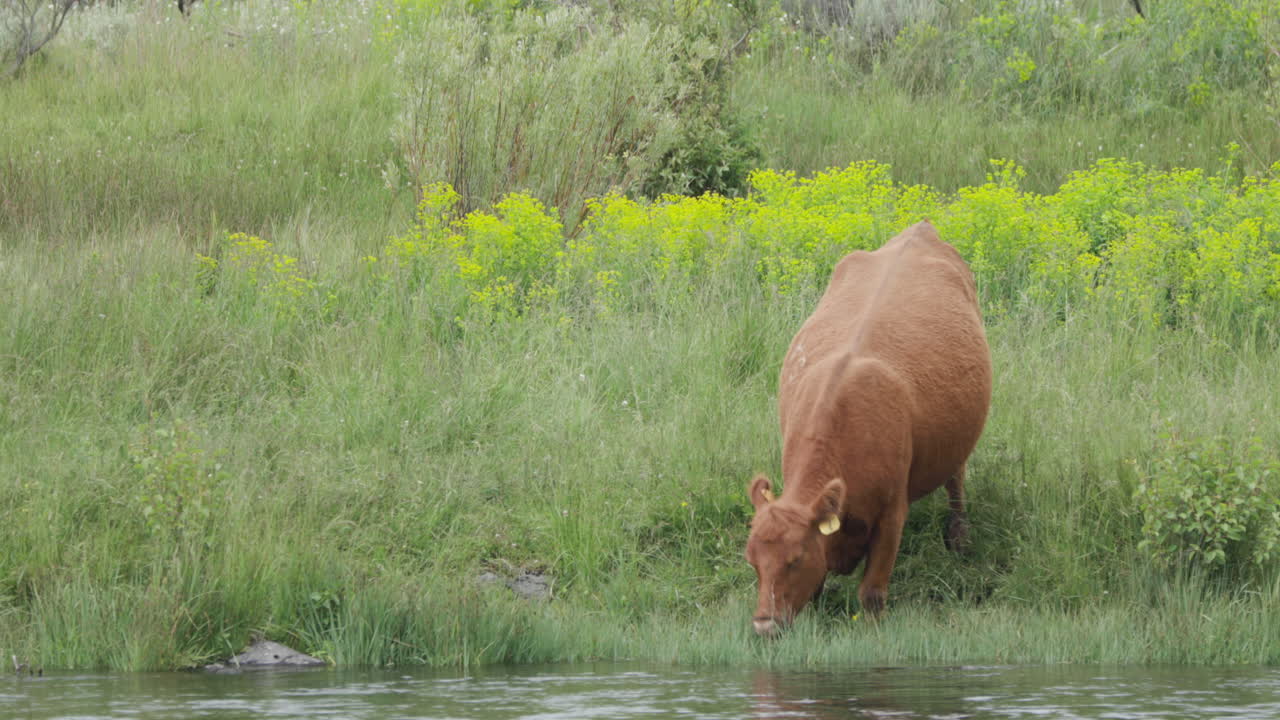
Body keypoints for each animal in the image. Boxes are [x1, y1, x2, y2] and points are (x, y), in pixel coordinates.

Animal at [745, 221, 992, 637]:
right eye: (752, 560)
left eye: (795, 559)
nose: (765, 626)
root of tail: (921, 229)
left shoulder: (892, 514)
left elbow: (872, 592)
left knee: (956, 481)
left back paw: (959, 536)